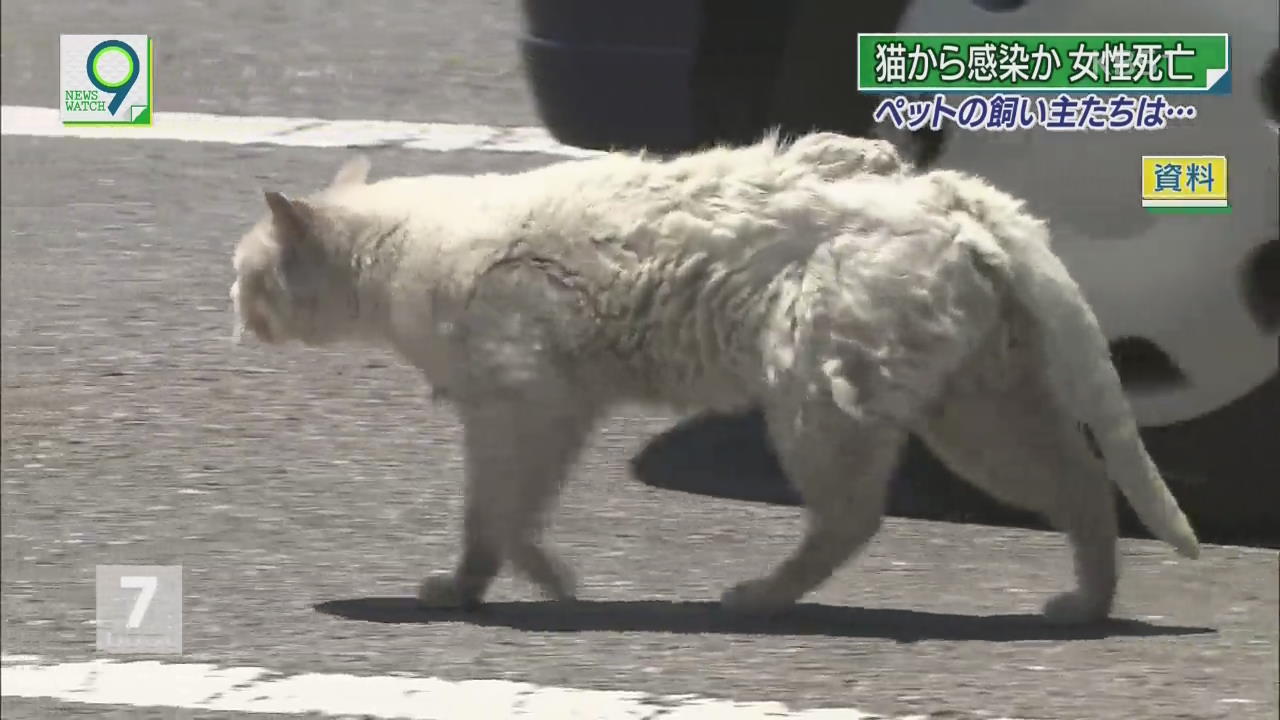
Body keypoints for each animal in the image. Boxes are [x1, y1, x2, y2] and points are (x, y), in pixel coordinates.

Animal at [232, 133, 1198, 622]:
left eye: (247, 276)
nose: (230, 310)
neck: (401, 252)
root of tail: (954, 194)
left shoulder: (528, 402)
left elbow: (500, 518)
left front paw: (527, 587)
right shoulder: (538, 409)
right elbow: (496, 518)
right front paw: (488, 587)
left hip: (821, 393)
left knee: (853, 517)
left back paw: (759, 597)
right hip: (975, 408)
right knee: (1081, 483)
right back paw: (1087, 603)